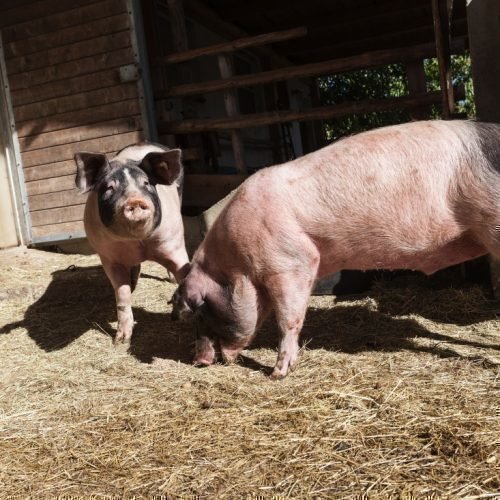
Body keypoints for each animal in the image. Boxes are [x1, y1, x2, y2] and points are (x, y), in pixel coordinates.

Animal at [74, 143, 189, 342]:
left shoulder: (174, 245)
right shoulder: (108, 257)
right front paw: (120, 340)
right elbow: (122, 293)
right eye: (109, 188)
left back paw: (170, 279)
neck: (137, 242)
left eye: (146, 183)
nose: (135, 200)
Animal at [171, 120, 500, 378]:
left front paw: (277, 374)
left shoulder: (292, 261)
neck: (239, 268)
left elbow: (288, 318)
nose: (197, 361)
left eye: (198, 311)